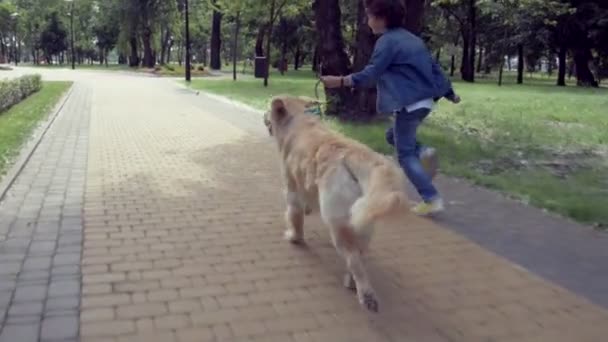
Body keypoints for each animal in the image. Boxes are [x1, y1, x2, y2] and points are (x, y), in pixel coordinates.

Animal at [264, 94, 410, 312]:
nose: (264, 115)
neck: (298, 120)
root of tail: (355, 156)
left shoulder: (291, 188)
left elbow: (294, 216)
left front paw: (294, 237)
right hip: (363, 220)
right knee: (359, 255)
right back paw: (353, 282)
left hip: (339, 223)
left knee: (354, 260)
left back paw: (366, 294)